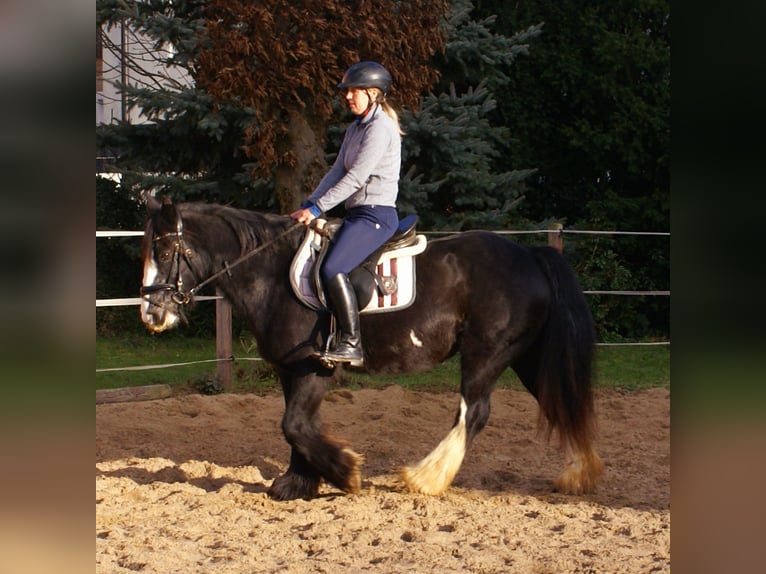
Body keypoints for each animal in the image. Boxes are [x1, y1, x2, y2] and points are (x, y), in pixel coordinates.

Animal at [140, 199, 608, 504]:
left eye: (163, 250)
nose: (151, 314)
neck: (271, 273)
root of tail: (528, 253)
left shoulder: (315, 368)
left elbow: (294, 425)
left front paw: (345, 473)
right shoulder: (291, 369)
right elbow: (298, 426)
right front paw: (297, 485)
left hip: (486, 354)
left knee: (473, 413)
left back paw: (425, 478)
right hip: (526, 357)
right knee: (559, 402)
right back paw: (579, 474)